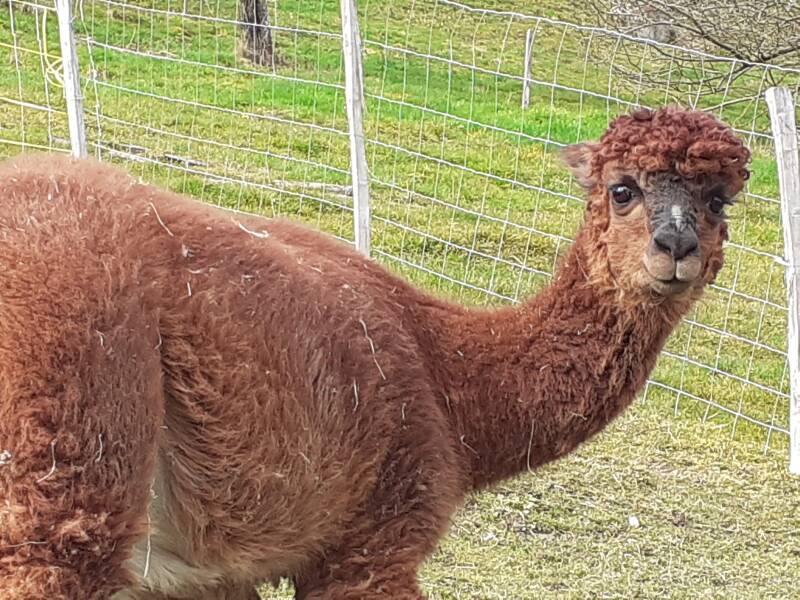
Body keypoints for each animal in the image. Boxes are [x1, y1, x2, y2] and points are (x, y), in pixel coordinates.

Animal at [0, 107, 750, 599]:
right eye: (623, 189)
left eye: (719, 201)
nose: (675, 247)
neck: (452, 380)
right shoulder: (373, 543)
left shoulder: (200, 578)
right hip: (68, 447)